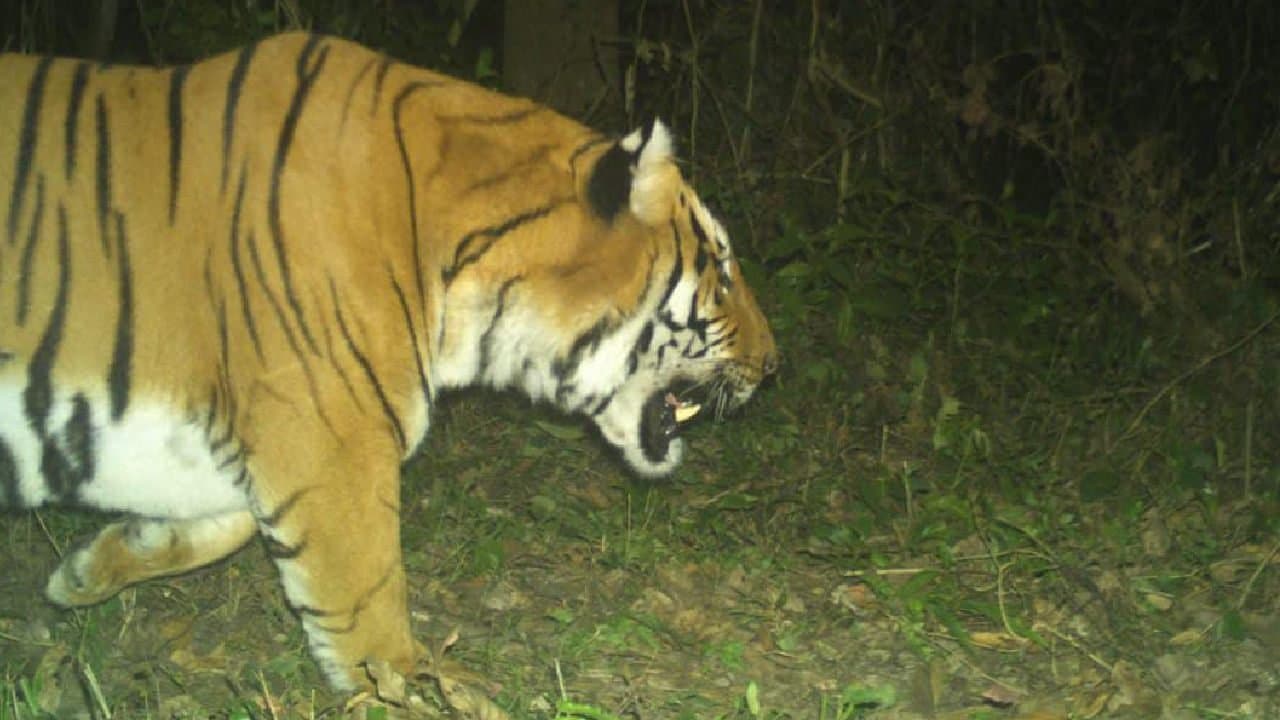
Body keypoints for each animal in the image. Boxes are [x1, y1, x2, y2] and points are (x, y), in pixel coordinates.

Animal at [0, 32, 777, 690]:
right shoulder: (334, 449)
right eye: (722, 271)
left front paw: (88, 569)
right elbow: (371, 625)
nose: (774, 365)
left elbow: (225, 522)